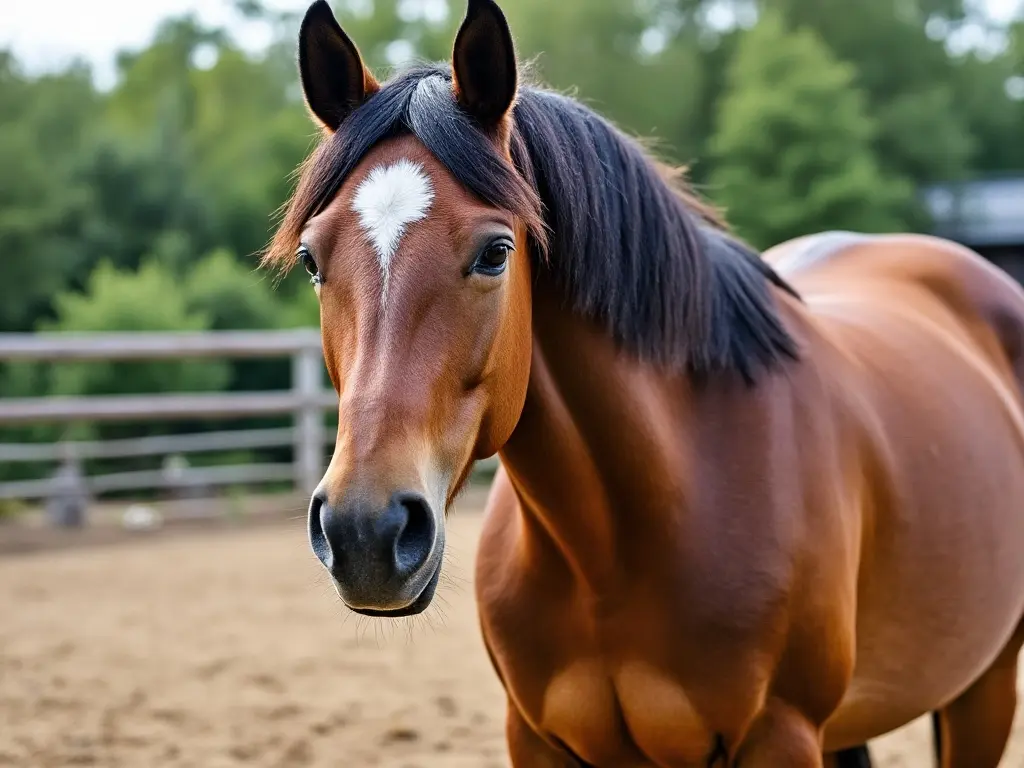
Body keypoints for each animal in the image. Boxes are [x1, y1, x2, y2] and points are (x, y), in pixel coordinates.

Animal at [268, 1, 1024, 768]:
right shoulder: (535, 739)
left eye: (495, 253)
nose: (365, 531)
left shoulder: (781, 736)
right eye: (312, 259)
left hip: (985, 687)